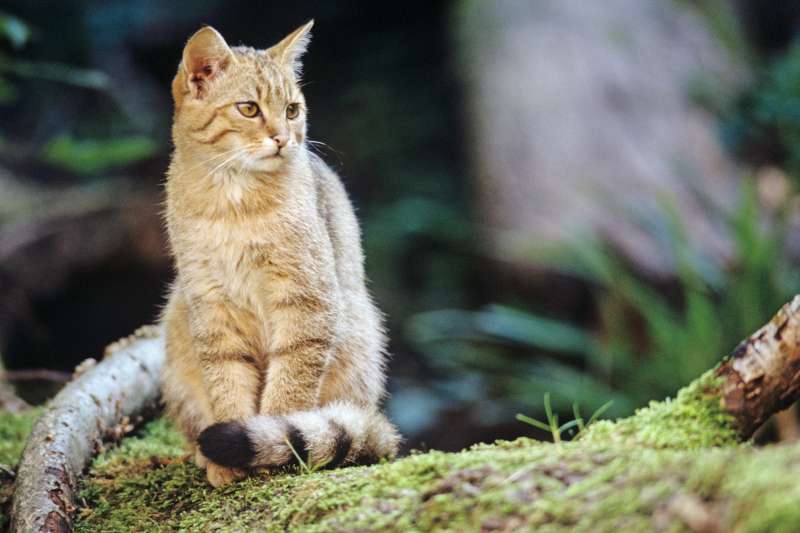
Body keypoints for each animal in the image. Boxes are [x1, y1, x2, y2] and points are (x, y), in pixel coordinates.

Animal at [161, 21, 400, 486]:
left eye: (291, 110)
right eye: (248, 109)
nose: (284, 139)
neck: (232, 200)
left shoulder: (306, 299)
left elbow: (289, 388)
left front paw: (273, 445)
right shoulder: (209, 304)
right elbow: (226, 382)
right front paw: (226, 460)